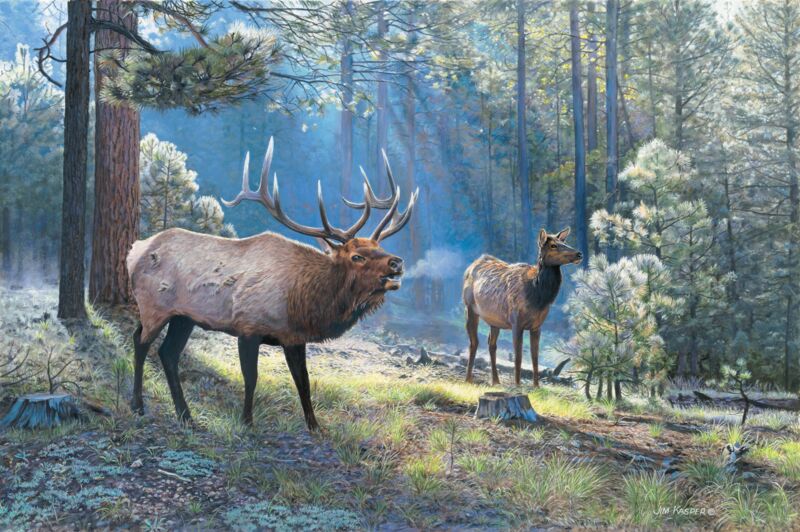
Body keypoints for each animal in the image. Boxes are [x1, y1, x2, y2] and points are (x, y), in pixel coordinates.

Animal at [126, 137, 417, 430]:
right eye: (357, 256)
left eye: (379, 247)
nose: (397, 262)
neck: (302, 302)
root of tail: (134, 251)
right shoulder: (248, 328)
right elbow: (251, 378)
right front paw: (247, 422)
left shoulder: (294, 338)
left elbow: (304, 383)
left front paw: (315, 427)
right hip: (154, 306)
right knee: (141, 342)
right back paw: (138, 405)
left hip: (183, 317)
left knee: (167, 352)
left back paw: (185, 415)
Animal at [462, 228, 582, 387]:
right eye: (553, 245)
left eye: (565, 242)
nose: (579, 254)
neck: (538, 297)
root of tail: (472, 264)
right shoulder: (516, 322)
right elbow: (518, 356)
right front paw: (518, 385)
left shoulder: (537, 326)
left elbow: (535, 356)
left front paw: (536, 386)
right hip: (469, 308)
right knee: (474, 342)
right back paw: (468, 379)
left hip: (495, 320)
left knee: (491, 344)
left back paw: (496, 381)